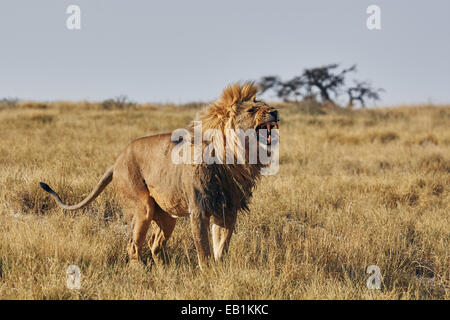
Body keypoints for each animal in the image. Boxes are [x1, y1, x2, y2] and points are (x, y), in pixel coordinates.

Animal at [39, 83, 278, 270]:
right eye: (252, 110)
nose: (275, 111)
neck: (237, 157)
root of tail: (116, 161)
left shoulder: (227, 209)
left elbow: (221, 245)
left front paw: (220, 269)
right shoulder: (199, 210)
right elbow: (204, 249)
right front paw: (208, 273)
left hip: (167, 215)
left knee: (155, 244)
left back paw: (164, 270)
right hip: (142, 207)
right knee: (133, 244)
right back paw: (140, 270)